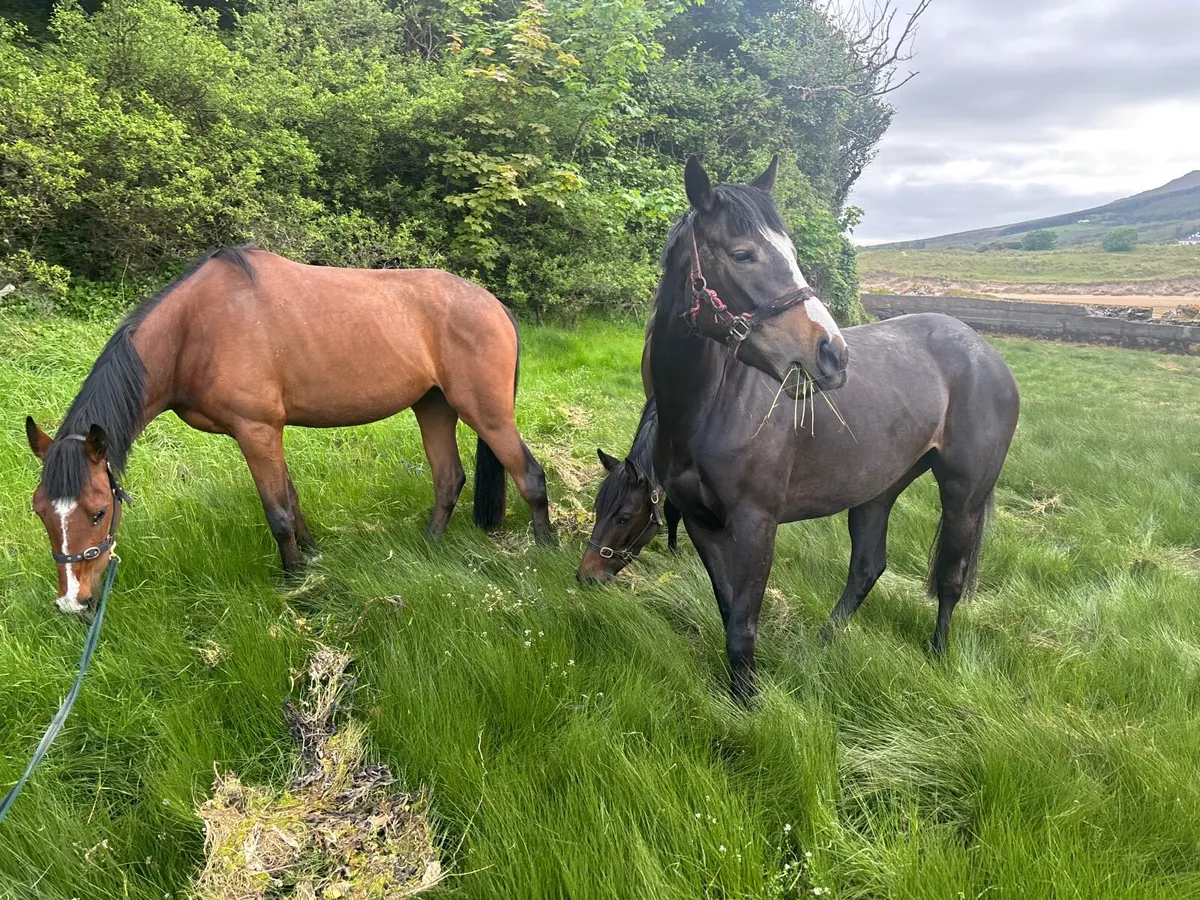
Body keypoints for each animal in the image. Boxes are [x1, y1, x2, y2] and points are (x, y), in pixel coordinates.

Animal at [25, 246, 555, 615]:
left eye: (98, 512)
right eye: (40, 512)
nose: (73, 602)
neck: (194, 331)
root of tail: (494, 304)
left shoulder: (257, 430)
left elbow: (277, 511)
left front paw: (296, 580)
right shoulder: (268, 434)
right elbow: (291, 497)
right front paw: (313, 555)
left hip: (486, 413)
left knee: (530, 476)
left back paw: (547, 553)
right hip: (434, 407)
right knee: (448, 479)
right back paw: (427, 549)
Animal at [649, 156, 1020, 702]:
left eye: (791, 252)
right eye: (742, 254)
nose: (832, 353)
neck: (708, 408)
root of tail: (983, 350)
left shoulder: (756, 524)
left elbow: (743, 623)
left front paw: (748, 705)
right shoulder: (701, 523)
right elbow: (728, 609)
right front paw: (740, 692)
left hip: (965, 495)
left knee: (950, 578)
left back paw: (937, 655)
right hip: (877, 491)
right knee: (867, 567)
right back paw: (821, 647)